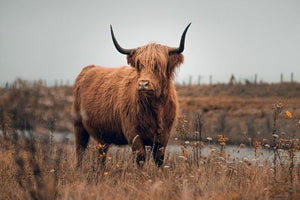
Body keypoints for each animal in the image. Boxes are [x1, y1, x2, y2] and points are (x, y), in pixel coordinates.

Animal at [71, 23, 191, 167]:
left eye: (158, 65)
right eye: (139, 64)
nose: (143, 84)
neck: (156, 107)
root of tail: (88, 68)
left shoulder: (164, 136)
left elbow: (159, 159)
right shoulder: (133, 132)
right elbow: (140, 157)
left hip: (102, 134)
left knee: (101, 154)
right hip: (79, 125)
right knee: (80, 150)